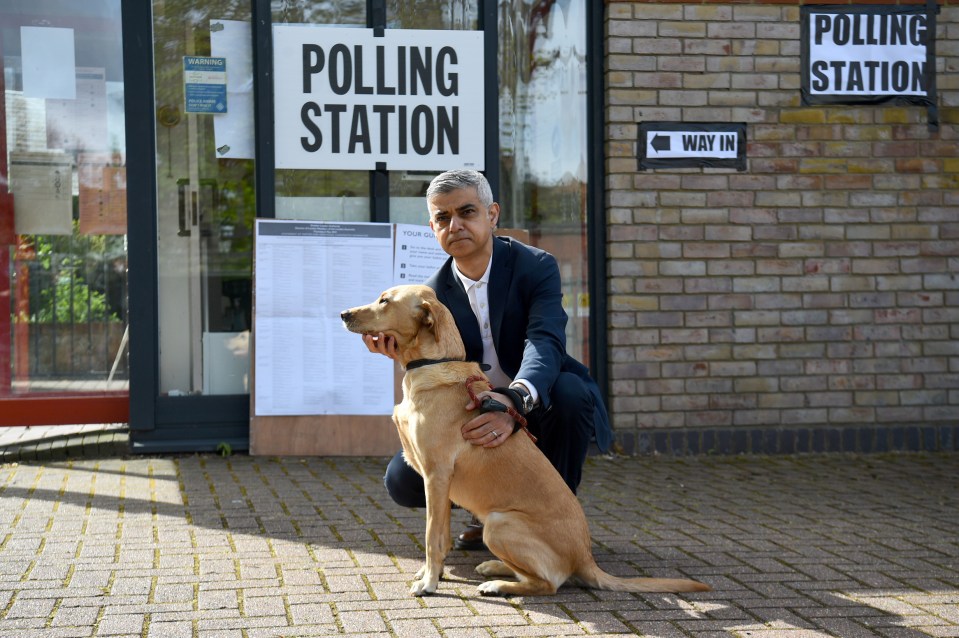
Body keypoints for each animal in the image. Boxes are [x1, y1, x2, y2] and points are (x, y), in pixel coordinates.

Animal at [342, 286, 708, 600]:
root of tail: (585, 557)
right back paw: (494, 568)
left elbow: (433, 538)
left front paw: (430, 582)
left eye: (385, 301)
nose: (344, 313)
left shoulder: (437, 475)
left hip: (499, 524)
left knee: (549, 584)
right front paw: (431, 574)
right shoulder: (437, 483)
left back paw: (497, 584)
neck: (433, 364)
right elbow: (441, 537)